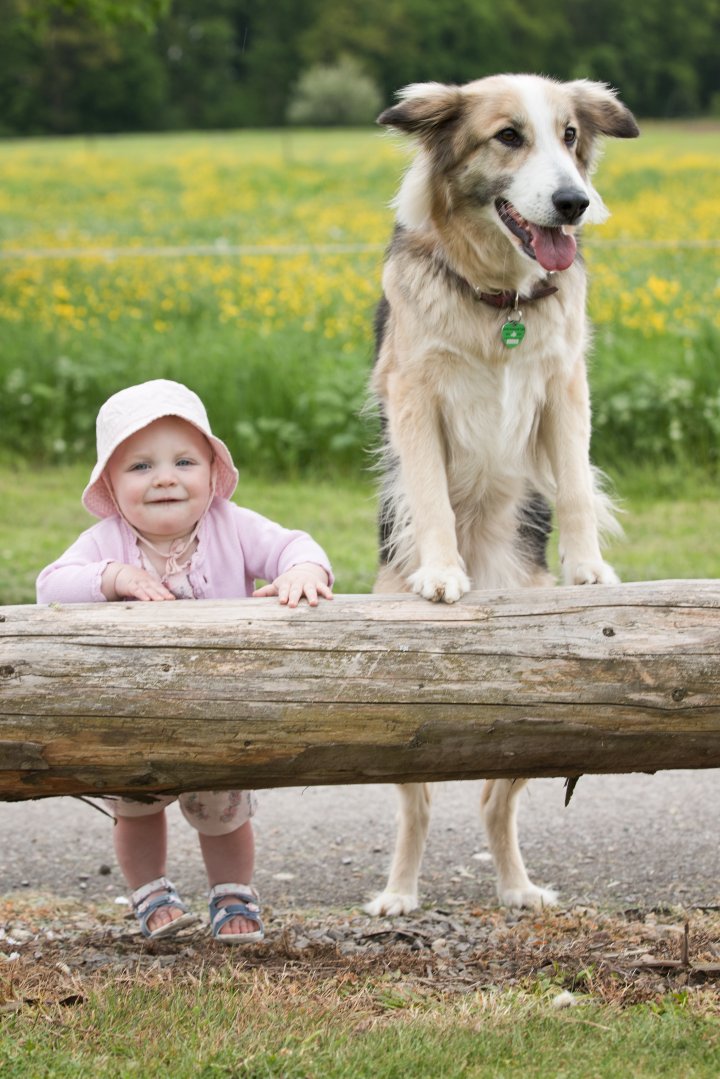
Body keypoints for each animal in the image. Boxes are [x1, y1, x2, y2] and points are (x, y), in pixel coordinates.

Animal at [369, 73, 639, 919]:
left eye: (570, 135)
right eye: (509, 137)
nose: (573, 203)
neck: (500, 302)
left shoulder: (564, 384)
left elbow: (577, 484)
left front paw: (589, 569)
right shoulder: (414, 392)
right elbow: (428, 493)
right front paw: (442, 573)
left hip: (533, 717)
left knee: (495, 801)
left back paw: (519, 888)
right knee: (419, 807)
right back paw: (399, 893)